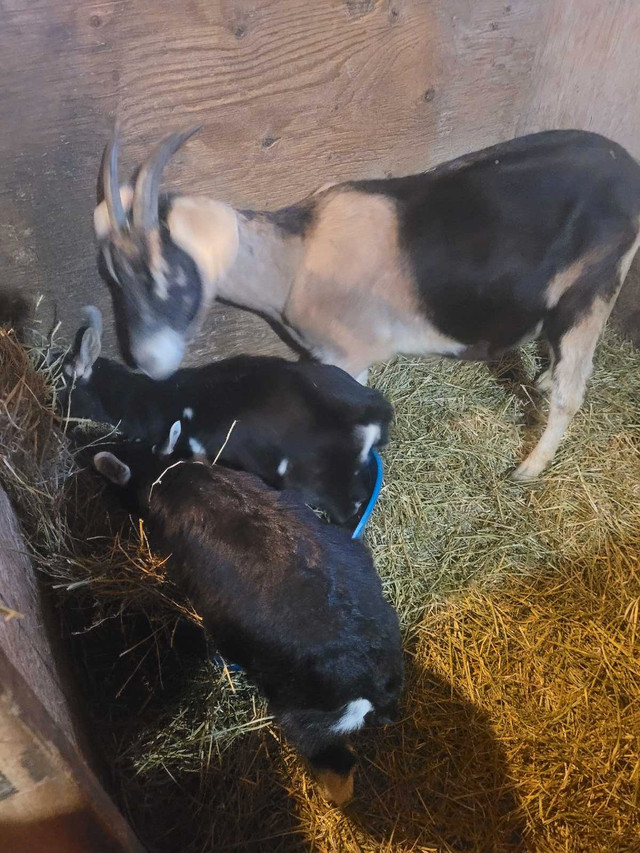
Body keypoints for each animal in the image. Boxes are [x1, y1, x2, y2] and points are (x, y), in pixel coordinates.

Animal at [94, 131, 640, 480]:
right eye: (114, 278)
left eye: (164, 271)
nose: (150, 361)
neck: (295, 258)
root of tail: (628, 170)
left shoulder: (349, 356)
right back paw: (542, 381)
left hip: (592, 290)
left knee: (573, 390)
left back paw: (528, 468)